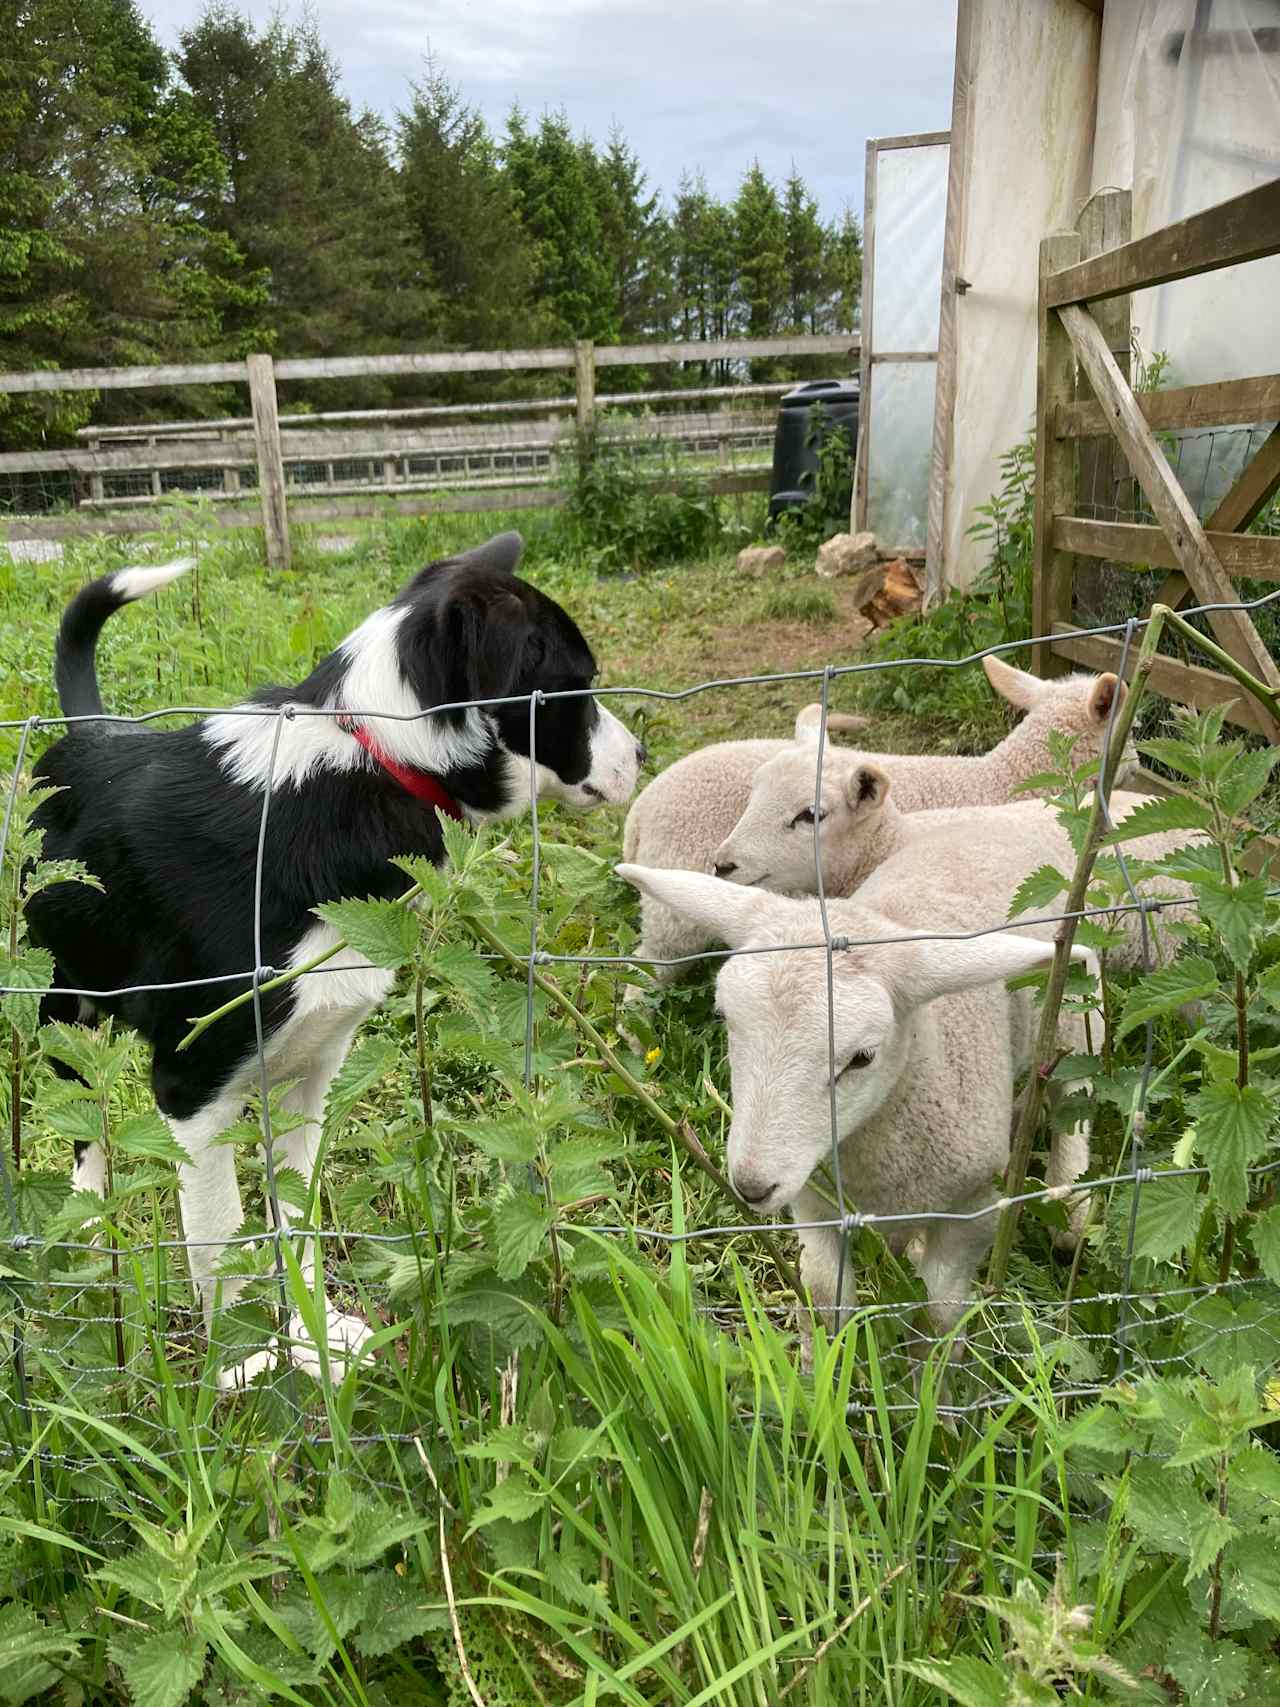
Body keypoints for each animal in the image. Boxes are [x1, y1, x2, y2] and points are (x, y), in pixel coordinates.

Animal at [617, 867, 1099, 1345]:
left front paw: (932, 1367)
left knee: (1074, 1092)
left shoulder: (973, 1213)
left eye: (862, 1057)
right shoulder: (815, 1205)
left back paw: (1071, 1208)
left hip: (1074, 1011)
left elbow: (939, 1321)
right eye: (723, 1017)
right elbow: (823, 1302)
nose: (751, 1187)